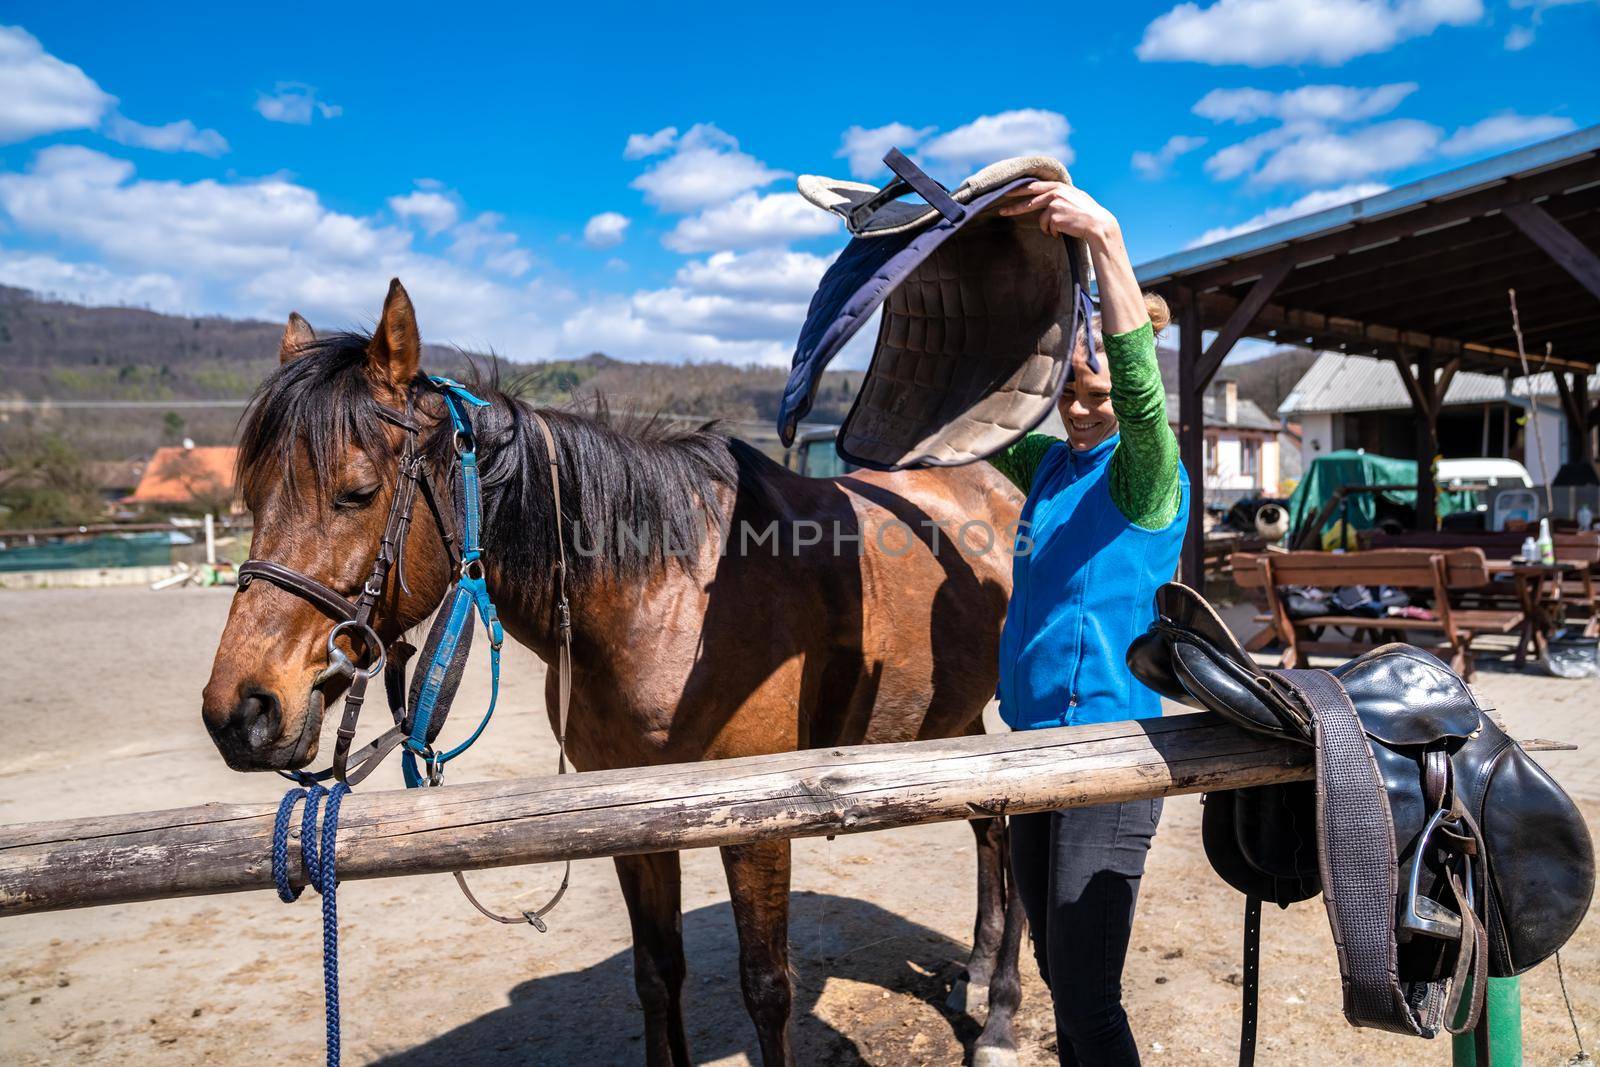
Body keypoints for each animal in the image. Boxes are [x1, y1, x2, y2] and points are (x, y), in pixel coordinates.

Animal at [203, 281, 1024, 1067]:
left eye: (357, 491)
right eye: (254, 496)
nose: (240, 712)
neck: (667, 600)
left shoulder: (759, 827)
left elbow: (767, 988)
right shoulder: (629, 819)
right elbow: (657, 975)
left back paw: (1001, 1013)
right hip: (958, 722)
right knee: (990, 825)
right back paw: (980, 971)